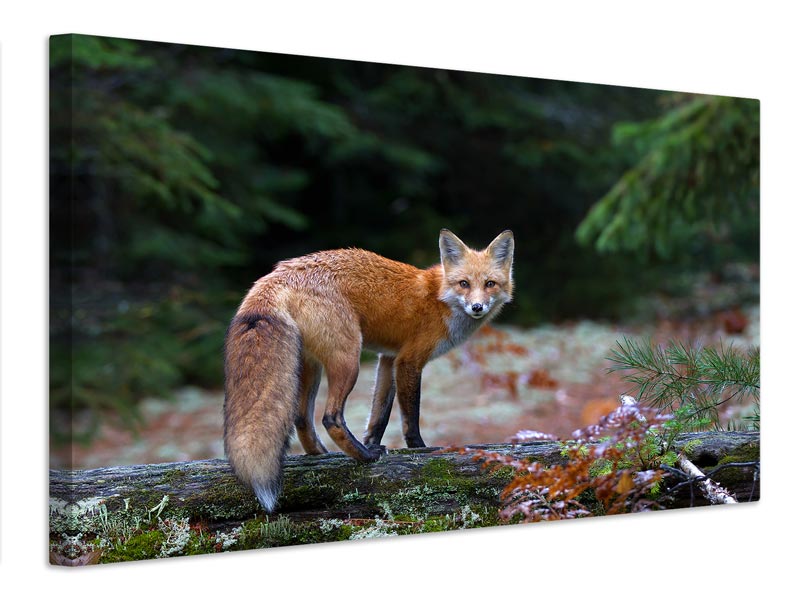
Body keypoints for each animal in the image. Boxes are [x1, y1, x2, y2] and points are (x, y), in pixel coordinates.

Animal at [222, 230, 516, 510]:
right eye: (464, 283)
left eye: (490, 284)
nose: (477, 307)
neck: (439, 298)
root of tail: (277, 273)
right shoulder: (408, 361)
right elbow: (410, 417)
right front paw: (418, 450)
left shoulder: (388, 359)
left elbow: (379, 416)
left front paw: (372, 441)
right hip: (348, 359)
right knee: (330, 418)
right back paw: (364, 457)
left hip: (311, 366)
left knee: (302, 418)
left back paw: (325, 455)